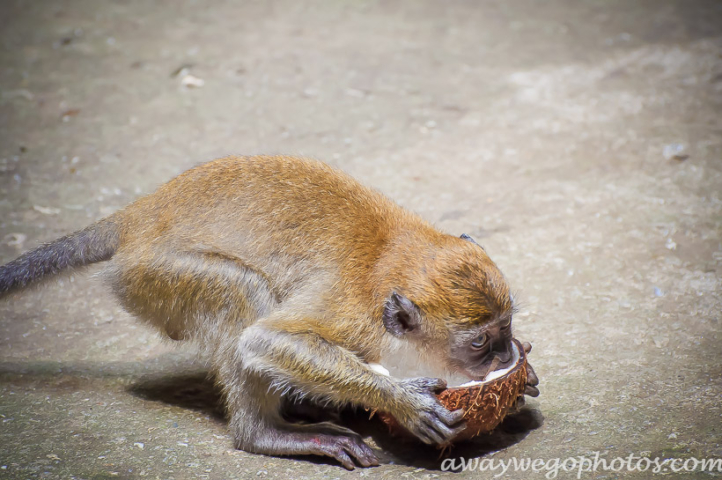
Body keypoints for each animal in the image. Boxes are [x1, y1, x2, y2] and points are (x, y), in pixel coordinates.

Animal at [0, 155, 536, 468]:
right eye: (480, 344)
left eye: (505, 329)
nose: (503, 356)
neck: (389, 260)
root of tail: (137, 216)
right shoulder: (350, 310)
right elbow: (264, 341)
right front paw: (402, 401)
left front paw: (524, 375)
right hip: (148, 277)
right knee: (241, 291)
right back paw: (263, 435)